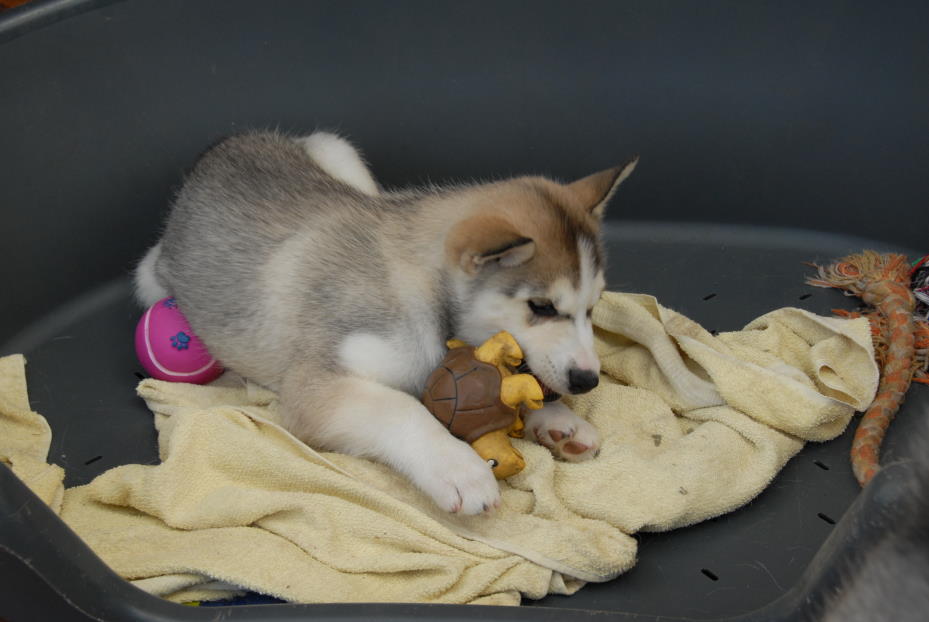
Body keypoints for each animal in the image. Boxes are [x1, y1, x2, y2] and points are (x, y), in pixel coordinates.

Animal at [134, 131, 637, 514]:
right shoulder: (316, 387)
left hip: (338, 151)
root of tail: (219, 146)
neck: (423, 294)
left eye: (592, 307)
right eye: (542, 307)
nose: (589, 381)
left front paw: (558, 421)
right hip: (151, 279)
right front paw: (457, 467)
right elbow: (401, 408)